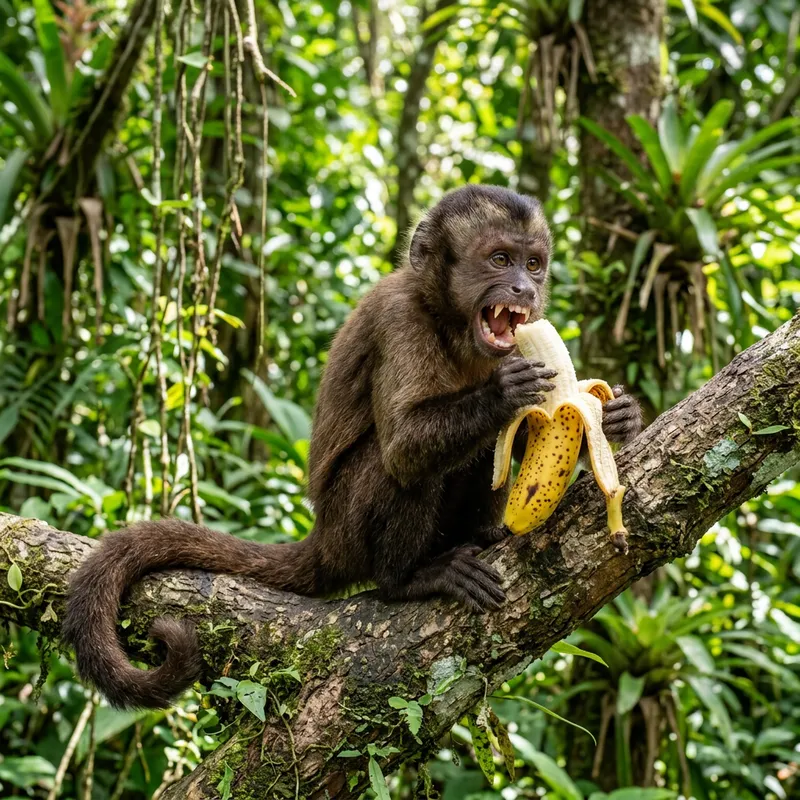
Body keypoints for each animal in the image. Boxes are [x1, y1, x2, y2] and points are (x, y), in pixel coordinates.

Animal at [62, 185, 642, 709]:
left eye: (534, 264)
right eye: (501, 259)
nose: (524, 288)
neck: (452, 323)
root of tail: (324, 538)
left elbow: (520, 435)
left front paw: (620, 419)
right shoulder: (400, 318)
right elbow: (405, 447)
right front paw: (504, 393)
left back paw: (484, 537)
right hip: (348, 527)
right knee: (399, 470)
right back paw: (408, 580)